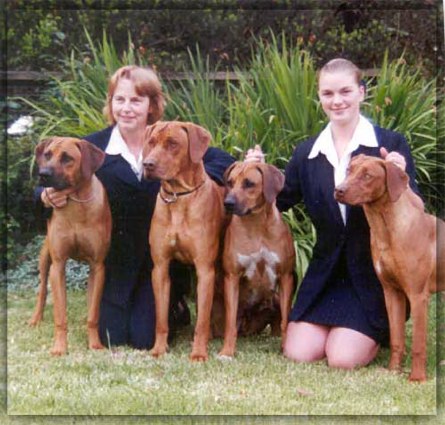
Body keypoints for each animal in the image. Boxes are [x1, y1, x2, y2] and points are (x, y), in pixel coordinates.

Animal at [31, 137, 111, 354]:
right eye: (48, 154)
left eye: (67, 158)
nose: (43, 174)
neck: (76, 203)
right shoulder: (58, 264)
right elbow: (60, 315)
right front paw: (60, 347)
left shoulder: (98, 266)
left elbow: (93, 313)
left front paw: (95, 344)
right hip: (45, 257)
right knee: (42, 292)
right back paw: (35, 319)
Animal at [142, 120, 225, 362]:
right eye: (151, 142)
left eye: (173, 143)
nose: (147, 164)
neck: (178, 198)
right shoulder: (160, 268)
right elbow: (161, 318)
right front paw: (159, 348)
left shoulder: (205, 269)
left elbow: (202, 321)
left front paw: (198, 353)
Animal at [216, 162, 294, 358]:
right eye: (230, 182)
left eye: (249, 183)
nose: (228, 203)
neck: (256, 224)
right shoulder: (232, 277)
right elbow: (230, 322)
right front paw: (227, 351)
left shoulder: (286, 276)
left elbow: (285, 320)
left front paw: (285, 348)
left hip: (274, 297)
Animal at [334, 153, 442, 380]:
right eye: (349, 170)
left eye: (367, 175)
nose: (339, 189)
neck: (387, 229)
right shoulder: (392, 293)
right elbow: (396, 339)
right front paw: (393, 370)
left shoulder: (418, 296)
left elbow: (418, 344)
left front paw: (417, 378)